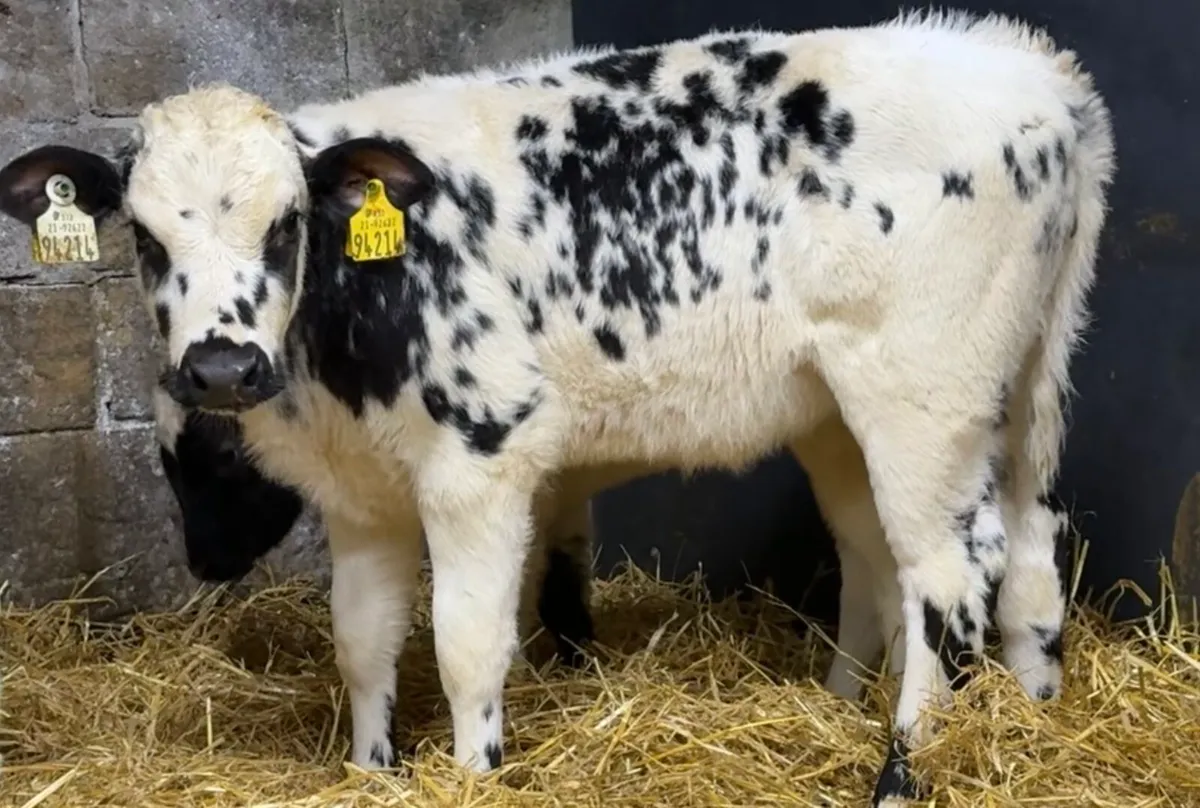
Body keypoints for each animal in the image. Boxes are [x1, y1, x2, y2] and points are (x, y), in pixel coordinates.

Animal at [0, 9, 1114, 803]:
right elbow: (363, 639)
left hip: (923, 395)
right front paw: (369, 769)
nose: (223, 367)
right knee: (998, 547)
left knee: (946, 573)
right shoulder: (362, 493)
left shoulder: (482, 461)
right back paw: (995, 719)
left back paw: (902, 771)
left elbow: (467, 640)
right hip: (966, 393)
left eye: (285, 225)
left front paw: (473, 771)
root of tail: (1031, 68)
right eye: (145, 237)